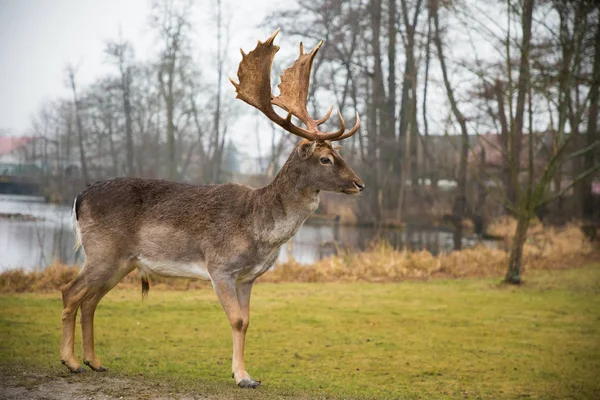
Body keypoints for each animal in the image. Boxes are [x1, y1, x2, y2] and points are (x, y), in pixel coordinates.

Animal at [61, 29, 364, 390]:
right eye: (326, 159)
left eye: (338, 154)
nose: (359, 183)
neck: (260, 229)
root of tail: (78, 198)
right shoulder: (219, 266)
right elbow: (236, 320)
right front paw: (242, 377)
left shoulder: (248, 277)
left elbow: (247, 321)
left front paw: (246, 374)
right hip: (102, 250)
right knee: (70, 292)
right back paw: (71, 362)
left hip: (122, 261)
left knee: (90, 300)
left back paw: (94, 361)